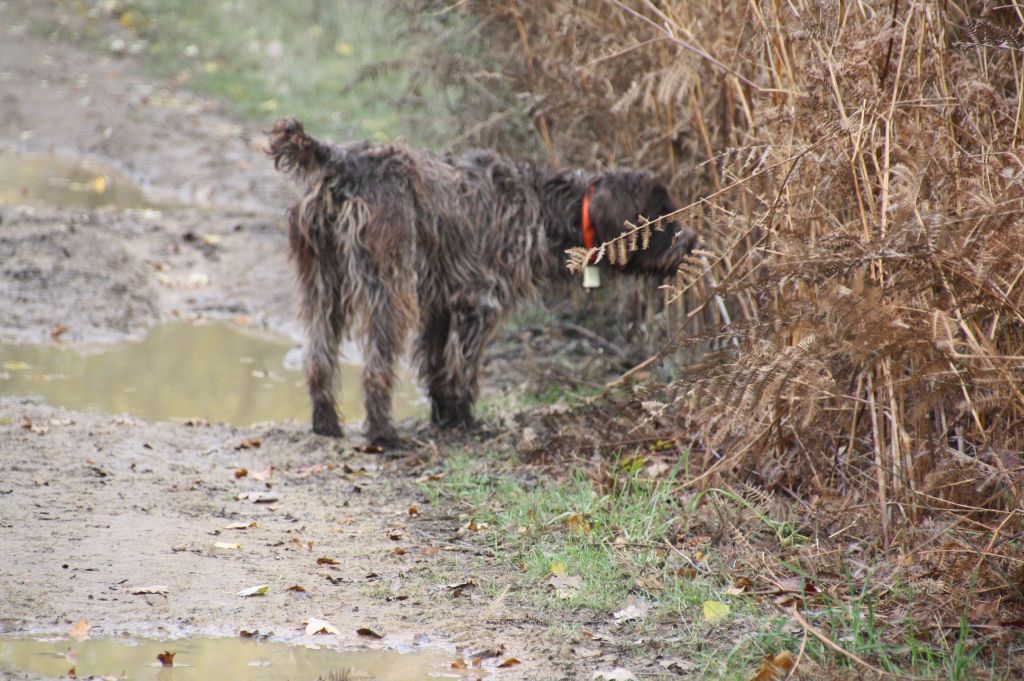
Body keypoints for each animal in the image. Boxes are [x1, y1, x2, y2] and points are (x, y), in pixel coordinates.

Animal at [268, 118, 692, 446]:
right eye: (660, 212)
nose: (693, 242)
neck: (544, 206)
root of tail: (344, 163)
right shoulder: (482, 302)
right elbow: (464, 369)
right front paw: (464, 418)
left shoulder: (439, 305)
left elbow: (437, 364)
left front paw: (444, 415)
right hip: (389, 292)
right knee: (376, 369)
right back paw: (384, 434)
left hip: (323, 286)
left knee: (318, 358)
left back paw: (326, 424)